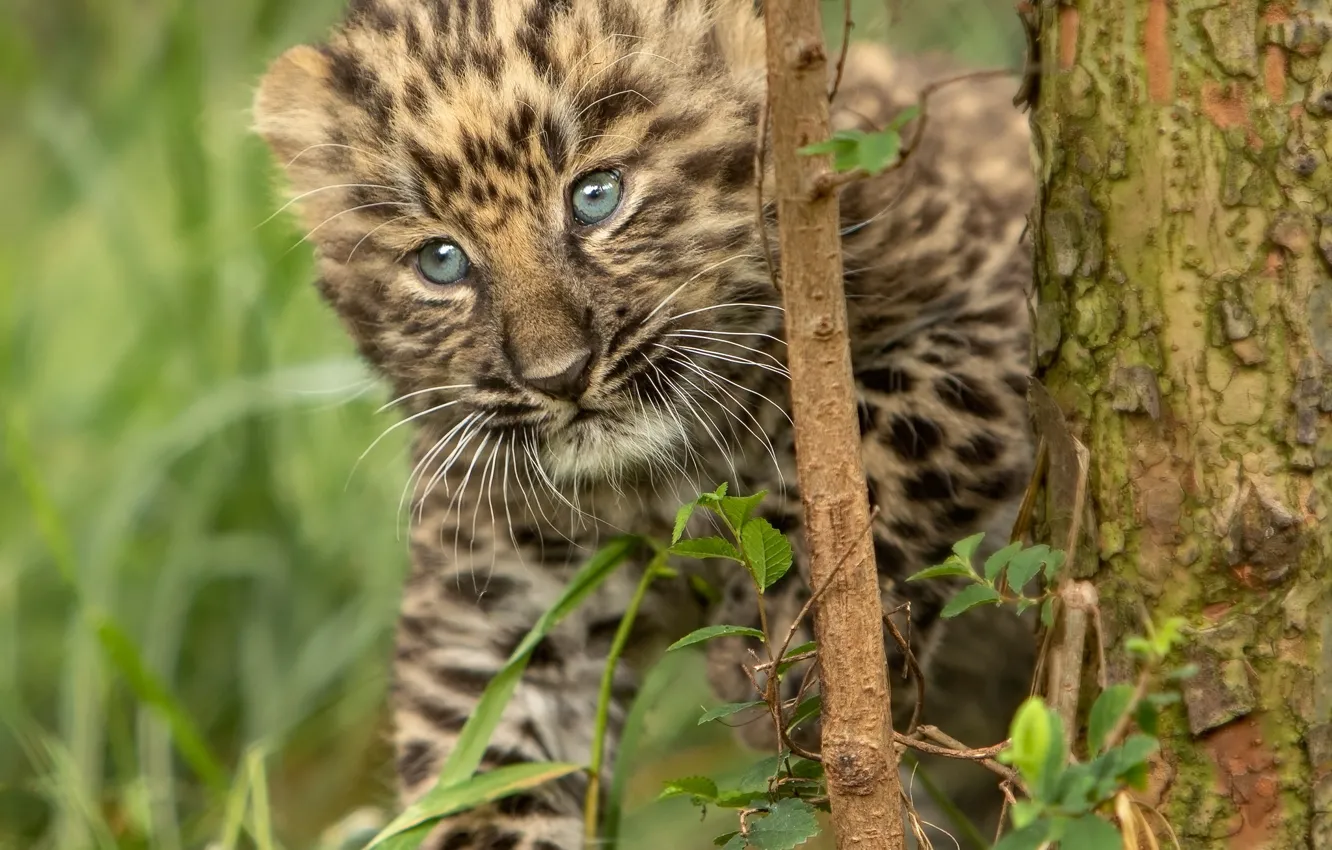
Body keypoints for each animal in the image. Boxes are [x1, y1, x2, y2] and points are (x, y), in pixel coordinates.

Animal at [253, 0, 1037, 847]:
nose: (559, 374)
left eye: (597, 196)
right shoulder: (498, 610)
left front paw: (795, 650)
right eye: (440, 262)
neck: (660, 479)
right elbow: (482, 783)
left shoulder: (995, 309)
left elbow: (895, 433)